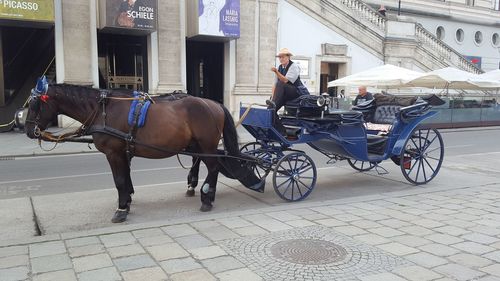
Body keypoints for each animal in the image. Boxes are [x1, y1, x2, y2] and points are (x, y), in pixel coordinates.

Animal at [25, 76, 264, 221]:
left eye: (35, 104)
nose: (27, 130)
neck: (103, 110)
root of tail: (214, 104)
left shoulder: (113, 153)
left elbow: (119, 180)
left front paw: (121, 209)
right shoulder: (123, 153)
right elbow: (125, 178)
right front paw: (127, 201)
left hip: (207, 145)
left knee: (213, 168)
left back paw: (207, 198)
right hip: (197, 145)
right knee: (201, 163)